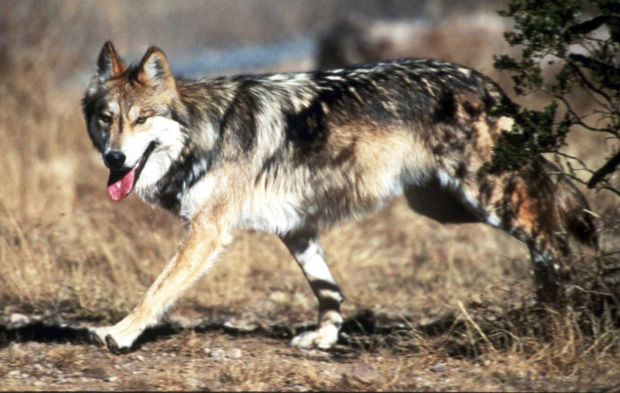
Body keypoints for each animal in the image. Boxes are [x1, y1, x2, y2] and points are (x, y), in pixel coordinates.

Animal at [81, 41, 596, 350]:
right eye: (107, 118)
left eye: (141, 119)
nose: (114, 158)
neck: (205, 132)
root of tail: (485, 81)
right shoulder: (296, 229)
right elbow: (328, 290)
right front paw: (324, 339)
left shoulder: (208, 232)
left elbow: (156, 290)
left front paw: (119, 333)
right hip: (444, 207)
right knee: (545, 229)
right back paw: (552, 311)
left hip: (485, 198)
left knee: (553, 234)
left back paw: (567, 315)